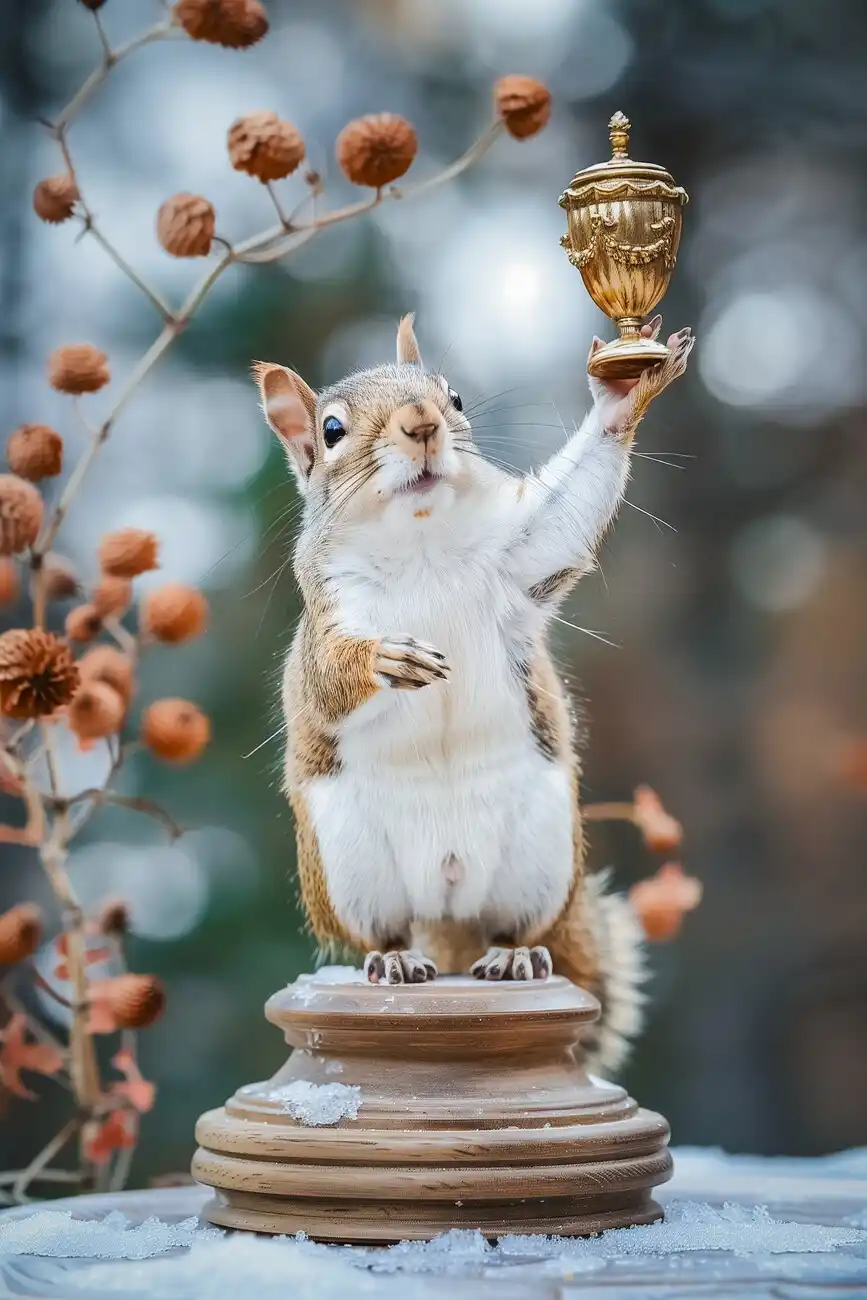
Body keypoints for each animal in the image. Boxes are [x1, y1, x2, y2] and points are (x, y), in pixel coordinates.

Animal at [254, 312, 693, 1074]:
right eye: (332, 430)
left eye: (453, 396)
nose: (422, 422)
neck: (422, 540)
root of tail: (446, 904)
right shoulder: (324, 619)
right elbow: (329, 679)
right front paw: (385, 657)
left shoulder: (520, 554)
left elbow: (563, 519)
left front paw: (622, 399)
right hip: (352, 870)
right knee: (388, 933)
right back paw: (396, 963)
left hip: (539, 858)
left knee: (509, 927)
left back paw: (513, 959)